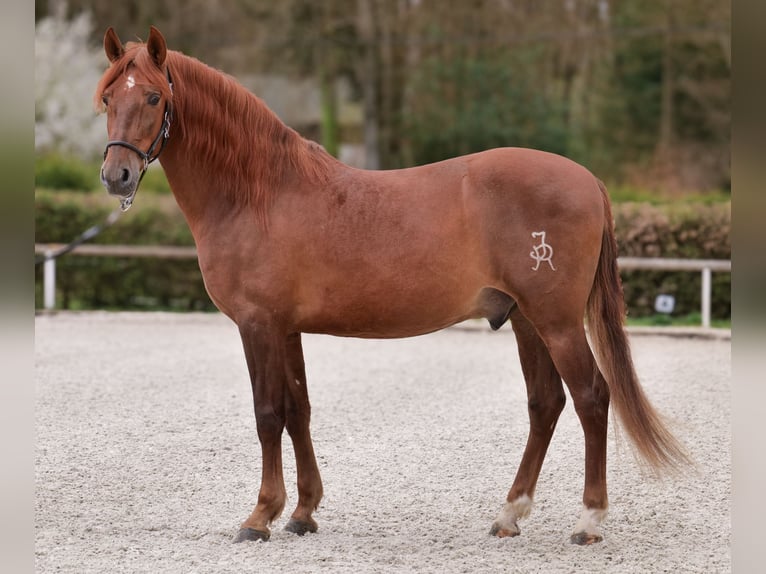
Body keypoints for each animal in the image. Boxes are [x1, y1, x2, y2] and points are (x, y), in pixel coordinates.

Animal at [96, 26, 687, 545]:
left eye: (153, 96)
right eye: (106, 98)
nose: (116, 176)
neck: (259, 192)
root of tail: (588, 179)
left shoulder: (258, 324)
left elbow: (268, 415)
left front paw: (260, 516)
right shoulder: (287, 329)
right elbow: (298, 410)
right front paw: (303, 512)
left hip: (557, 321)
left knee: (591, 398)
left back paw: (589, 521)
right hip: (525, 319)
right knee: (545, 404)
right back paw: (509, 514)